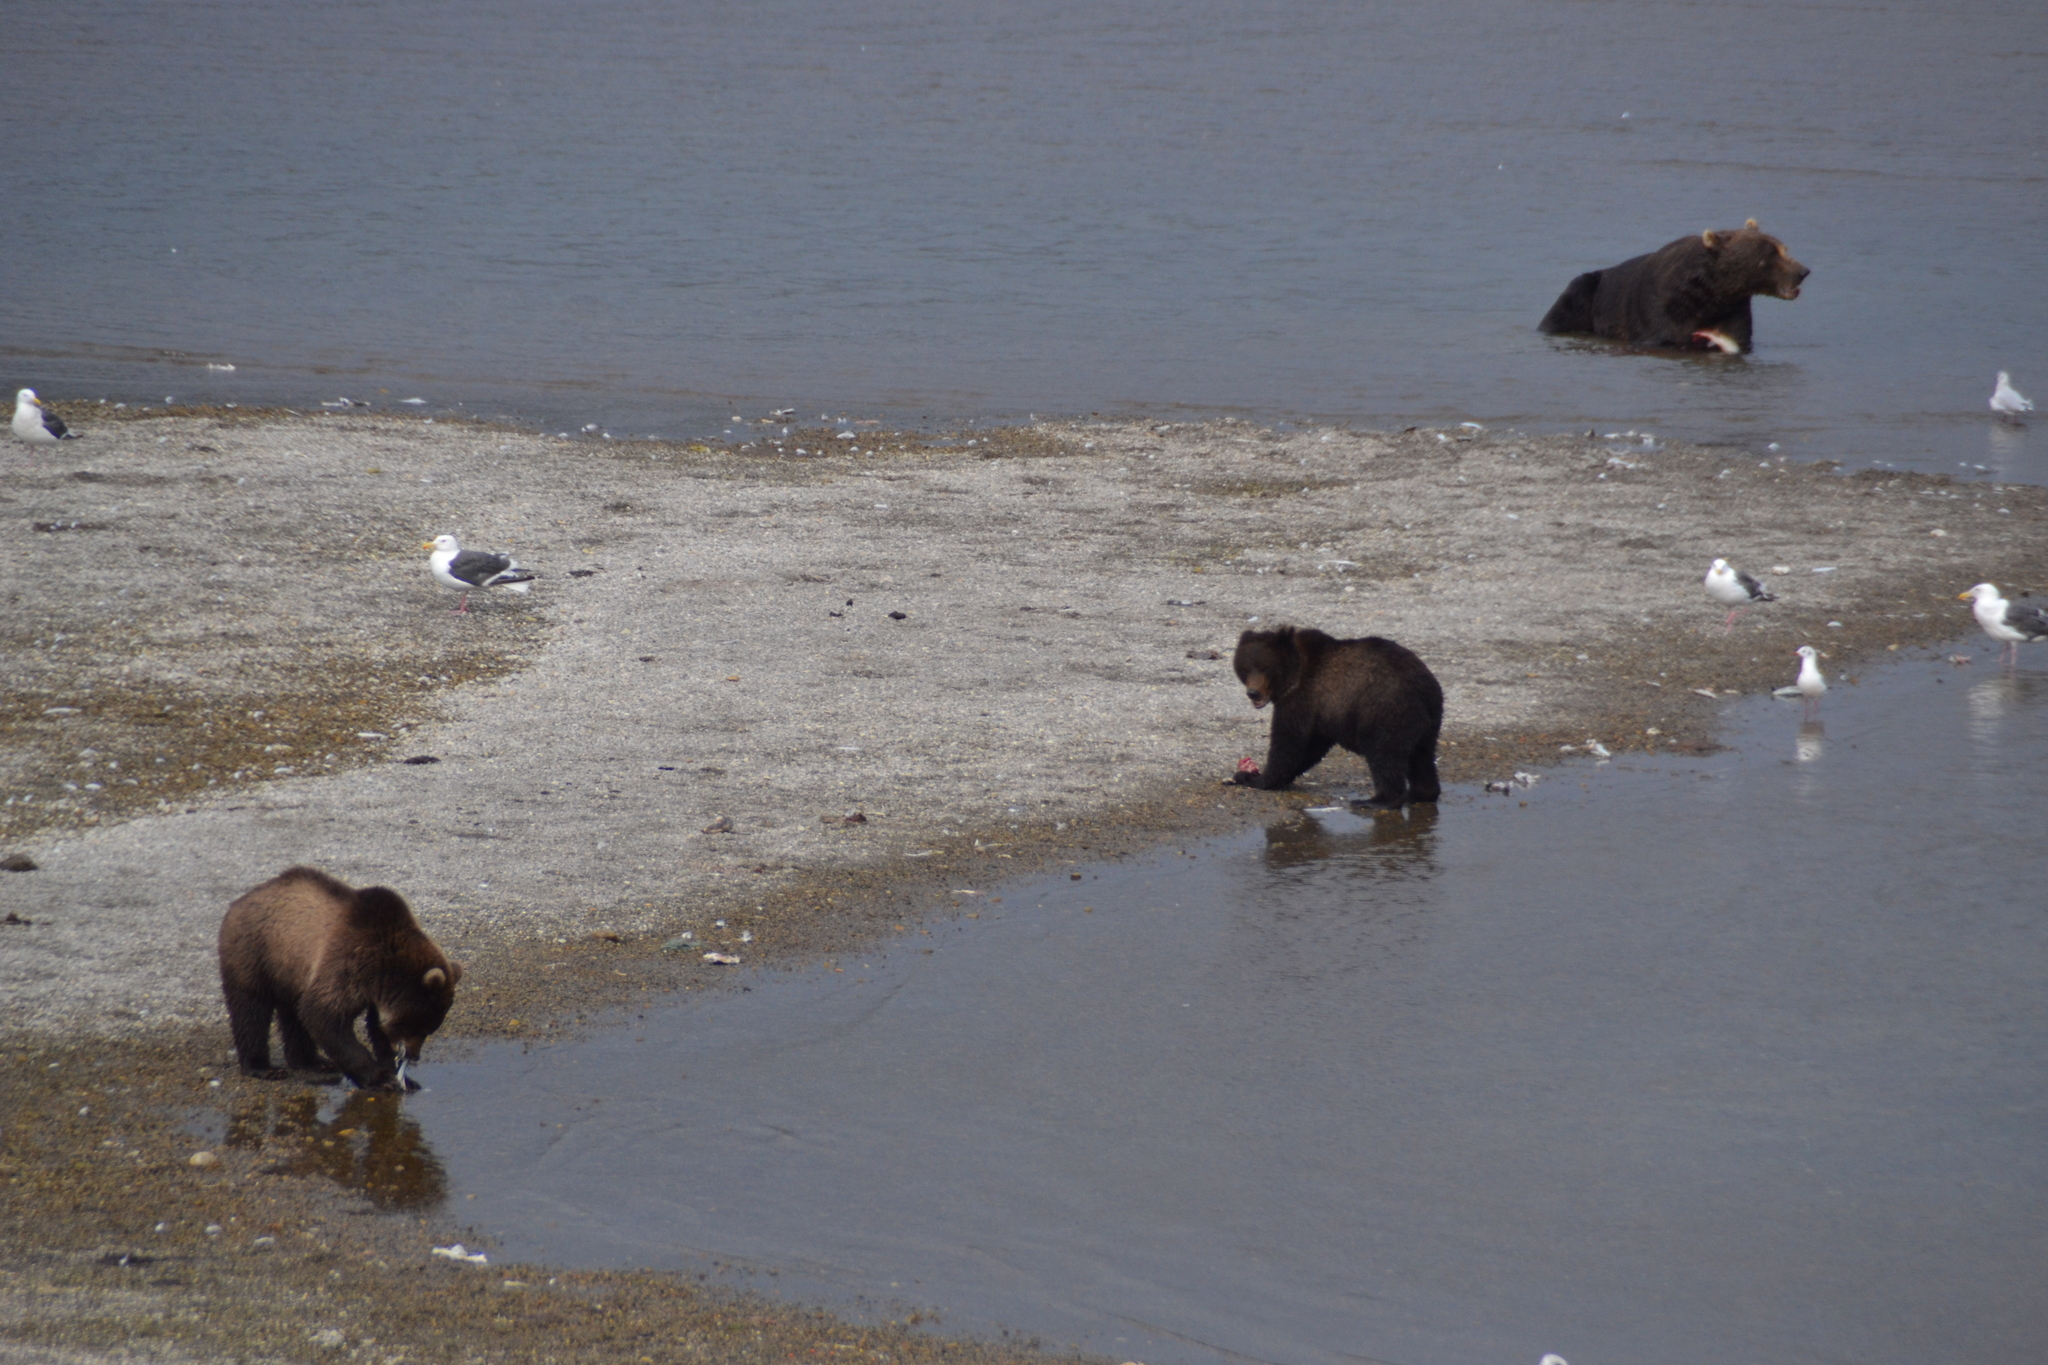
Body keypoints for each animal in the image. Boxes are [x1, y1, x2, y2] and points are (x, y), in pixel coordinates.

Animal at [222, 871, 466, 1096]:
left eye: (431, 1028)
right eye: (420, 1025)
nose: (414, 1055)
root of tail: (240, 900)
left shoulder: (377, 990)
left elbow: (376, 1027)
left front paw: (403, 1077)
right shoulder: (348, 962)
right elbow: (324, 1015)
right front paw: (379, 1078)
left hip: (290, 969)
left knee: (293, 1013)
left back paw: (313, 1062)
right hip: (255, 952)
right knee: (251, 1009)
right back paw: (264, 1068)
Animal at [1220, 630, 1449, 810]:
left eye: (1265, 667)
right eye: (1245, 668)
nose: (1253, 693)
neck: (1293, 675)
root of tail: (1422, 688)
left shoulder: (1303, 698)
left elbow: (1290, 745)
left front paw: (1254, 778)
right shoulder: (1322, 713)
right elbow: (1309, 748)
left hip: (1384, 711)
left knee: (1384, 754)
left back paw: (1376, 800)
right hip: (1430, 719)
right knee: (1422, 756)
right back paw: (1420, 793)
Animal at [1540, 218, 1810, 351]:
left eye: (1783, 249)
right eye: (1770, 256)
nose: (1803, 271)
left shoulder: (1734, 307)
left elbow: (1739, 335)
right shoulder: (1663, 306)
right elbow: (1666, 335)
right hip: (1589, 295)